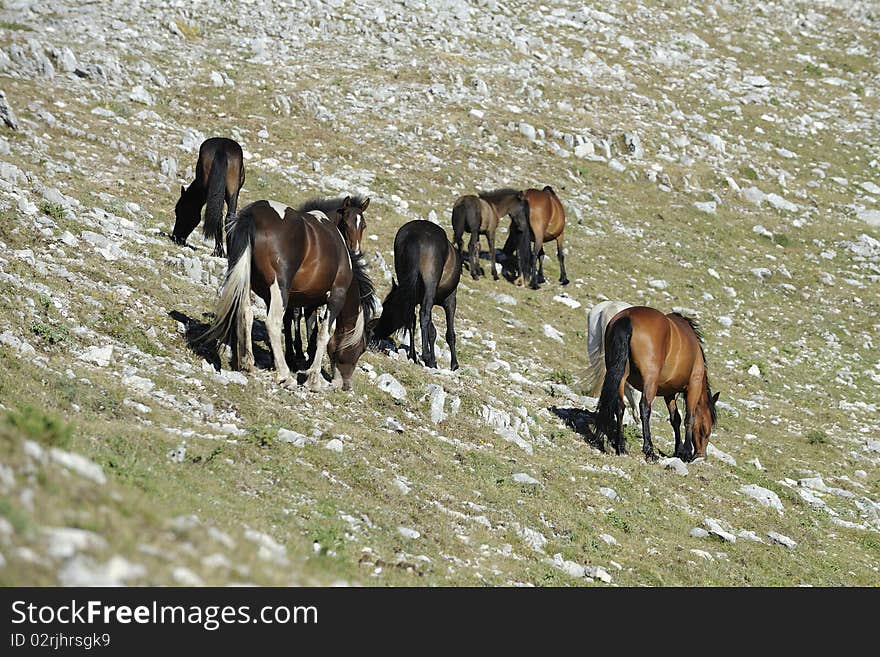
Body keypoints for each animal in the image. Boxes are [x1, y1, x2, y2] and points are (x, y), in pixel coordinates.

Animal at [372, 220, 464, 368]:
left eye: (386, 307)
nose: (377, 332)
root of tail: (414, 236)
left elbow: (431, 331)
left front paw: (431, 359)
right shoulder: (450, 300)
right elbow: (449, 333)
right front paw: (453, 364)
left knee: (412, 317)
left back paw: (413, 356)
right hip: (431, 285)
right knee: (423, 315)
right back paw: (426, 357)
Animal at [596, 304, 720, 462]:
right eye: (706, 429)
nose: (701, 456)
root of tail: (627, 317)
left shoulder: (669, 392)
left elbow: (675, 419)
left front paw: (678, 450)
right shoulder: (694, 385)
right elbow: (689, 418)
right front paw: (686, 451)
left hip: (620, 375)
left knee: (620, 406)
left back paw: (621, 447)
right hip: (651, 380)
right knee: (644, 407)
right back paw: (649, 450)